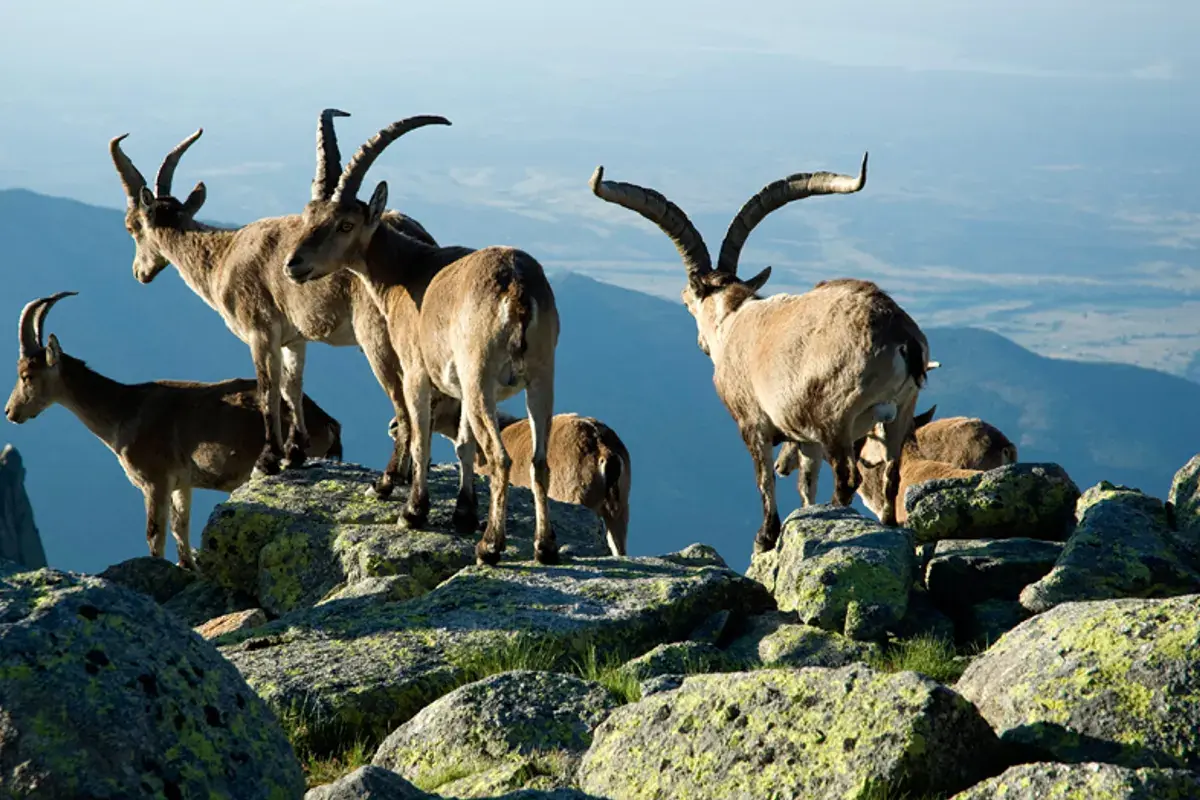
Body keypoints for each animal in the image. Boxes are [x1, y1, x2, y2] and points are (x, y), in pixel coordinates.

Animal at [4, 292, 341, 569]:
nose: (10, 412)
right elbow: (181, 530)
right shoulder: (182, 484)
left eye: (26, 375)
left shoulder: (155, 481)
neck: (125, 410)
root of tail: (326, 421)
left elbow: (155, 536)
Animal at [109, 109, 431, 494]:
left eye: (131, 226)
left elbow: (268, 389)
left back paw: (388, 480)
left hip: (377, 339)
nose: (138, 273)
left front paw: (269, 459)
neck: (222, 257)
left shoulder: (260, 330)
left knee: (404, 403)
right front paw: (295, 452)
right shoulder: (294, 338)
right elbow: (292, 387)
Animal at [283, 114, 561, 566]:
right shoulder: (457, 386)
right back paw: (545, 546)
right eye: (309, 216)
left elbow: (419, 435)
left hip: (481, 377)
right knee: (538, 460)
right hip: (540, 376)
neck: (407, 270)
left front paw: (413, 511)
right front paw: (463, 514)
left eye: (345, 223)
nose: (294, 264)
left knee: (501, 458)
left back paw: (491, 546)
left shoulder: (416, 371)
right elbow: (463, 444)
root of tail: (518, 289)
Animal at [590, 155, 930, 552]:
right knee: (891, 475)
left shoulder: (752, 421)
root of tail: (899, 334)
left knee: (848, 477)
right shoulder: (803, 435)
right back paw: (887, 525)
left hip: (837, 418)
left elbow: (763, 477)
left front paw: (766, 537)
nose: (701, 344)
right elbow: (805, 482)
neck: (733, 320)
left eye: (687, 300)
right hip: (899, 415)